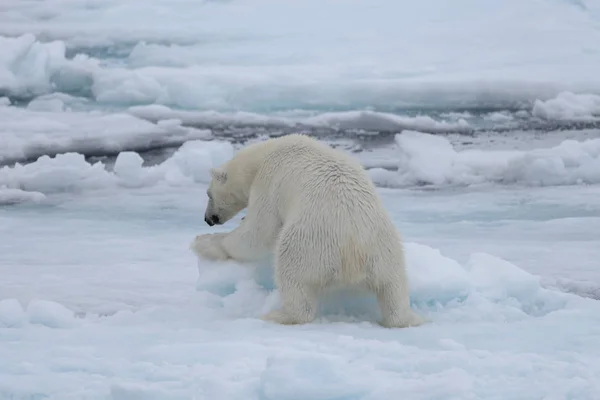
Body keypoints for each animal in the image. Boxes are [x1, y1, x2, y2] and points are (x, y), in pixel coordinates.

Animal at [191, 134, 422, 328]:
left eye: (208, 194)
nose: (208, 219)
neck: (264, 155)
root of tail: (354, 254)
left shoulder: (270, 181)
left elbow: (259, 231)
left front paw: (203, 242)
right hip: (387, 252)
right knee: (394, 289)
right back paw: (406, 318)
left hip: (309, 244)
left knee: (292, 276)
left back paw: (278, 314)